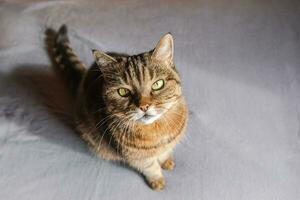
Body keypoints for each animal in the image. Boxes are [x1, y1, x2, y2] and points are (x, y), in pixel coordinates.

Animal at [47, 25, 188, 191]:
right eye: (123, 92)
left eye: (157, 84)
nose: (144, 106)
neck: (156, 131)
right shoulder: (137, 158)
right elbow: (151, 167)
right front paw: (157, 179)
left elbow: (165, 152)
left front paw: (166, 160)